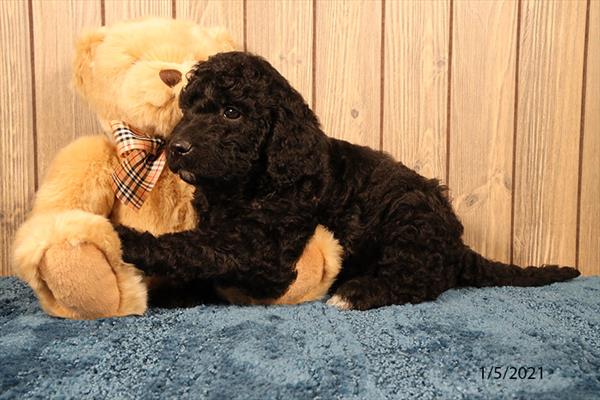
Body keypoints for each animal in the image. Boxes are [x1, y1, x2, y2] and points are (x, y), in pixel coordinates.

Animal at [115, 51, 580, 310]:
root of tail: (457, 245)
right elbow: (201, 251)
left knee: (421, 280)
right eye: (189, 109)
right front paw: (171, 291)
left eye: (232, 113)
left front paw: (125, 239)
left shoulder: (265, 254)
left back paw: (357, 293)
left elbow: (194, 247)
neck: (246, 185)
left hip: (409, 215)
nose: (177, 148)